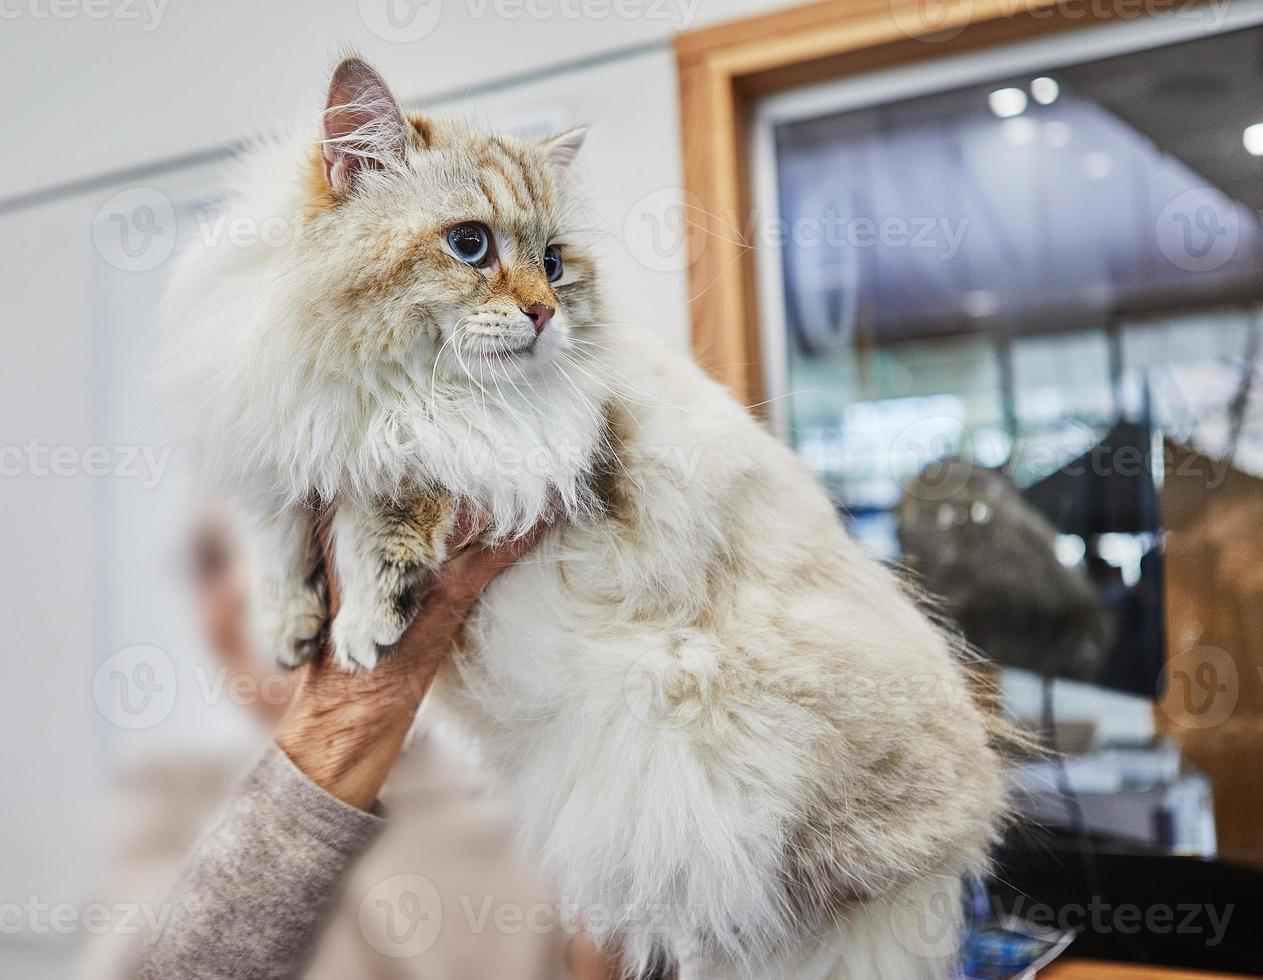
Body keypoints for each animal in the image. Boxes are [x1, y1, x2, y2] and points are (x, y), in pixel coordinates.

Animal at [162, 57, 1005, 980]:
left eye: (555, 262)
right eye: (470, 245)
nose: (544, 314)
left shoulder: (477, 454)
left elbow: (384, 513)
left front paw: (360, 629)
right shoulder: (285, 449)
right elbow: (279, 540)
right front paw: (289, 632)